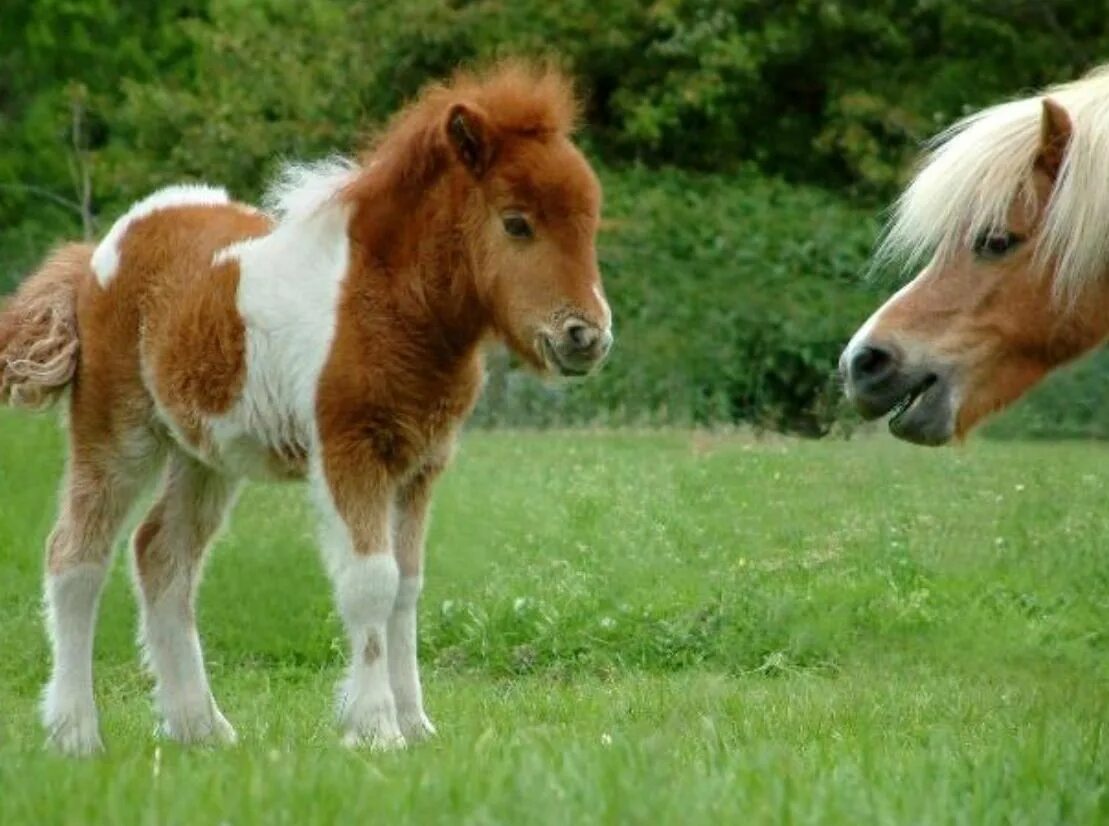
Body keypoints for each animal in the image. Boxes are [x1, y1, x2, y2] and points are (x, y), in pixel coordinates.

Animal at [0, 62, 616, 753]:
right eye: (517, 223)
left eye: (590, 224)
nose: (585, 337)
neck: (386, 301)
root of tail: (96, 254)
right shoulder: (351, 451)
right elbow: (371, 582)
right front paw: (376, 729)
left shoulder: (420, 465)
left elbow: (407, 586)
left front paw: (416, 724)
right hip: (117, 431)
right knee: (75, 556)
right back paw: (76, 733)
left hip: (204, 453)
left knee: (163, 555)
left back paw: (200, 727)